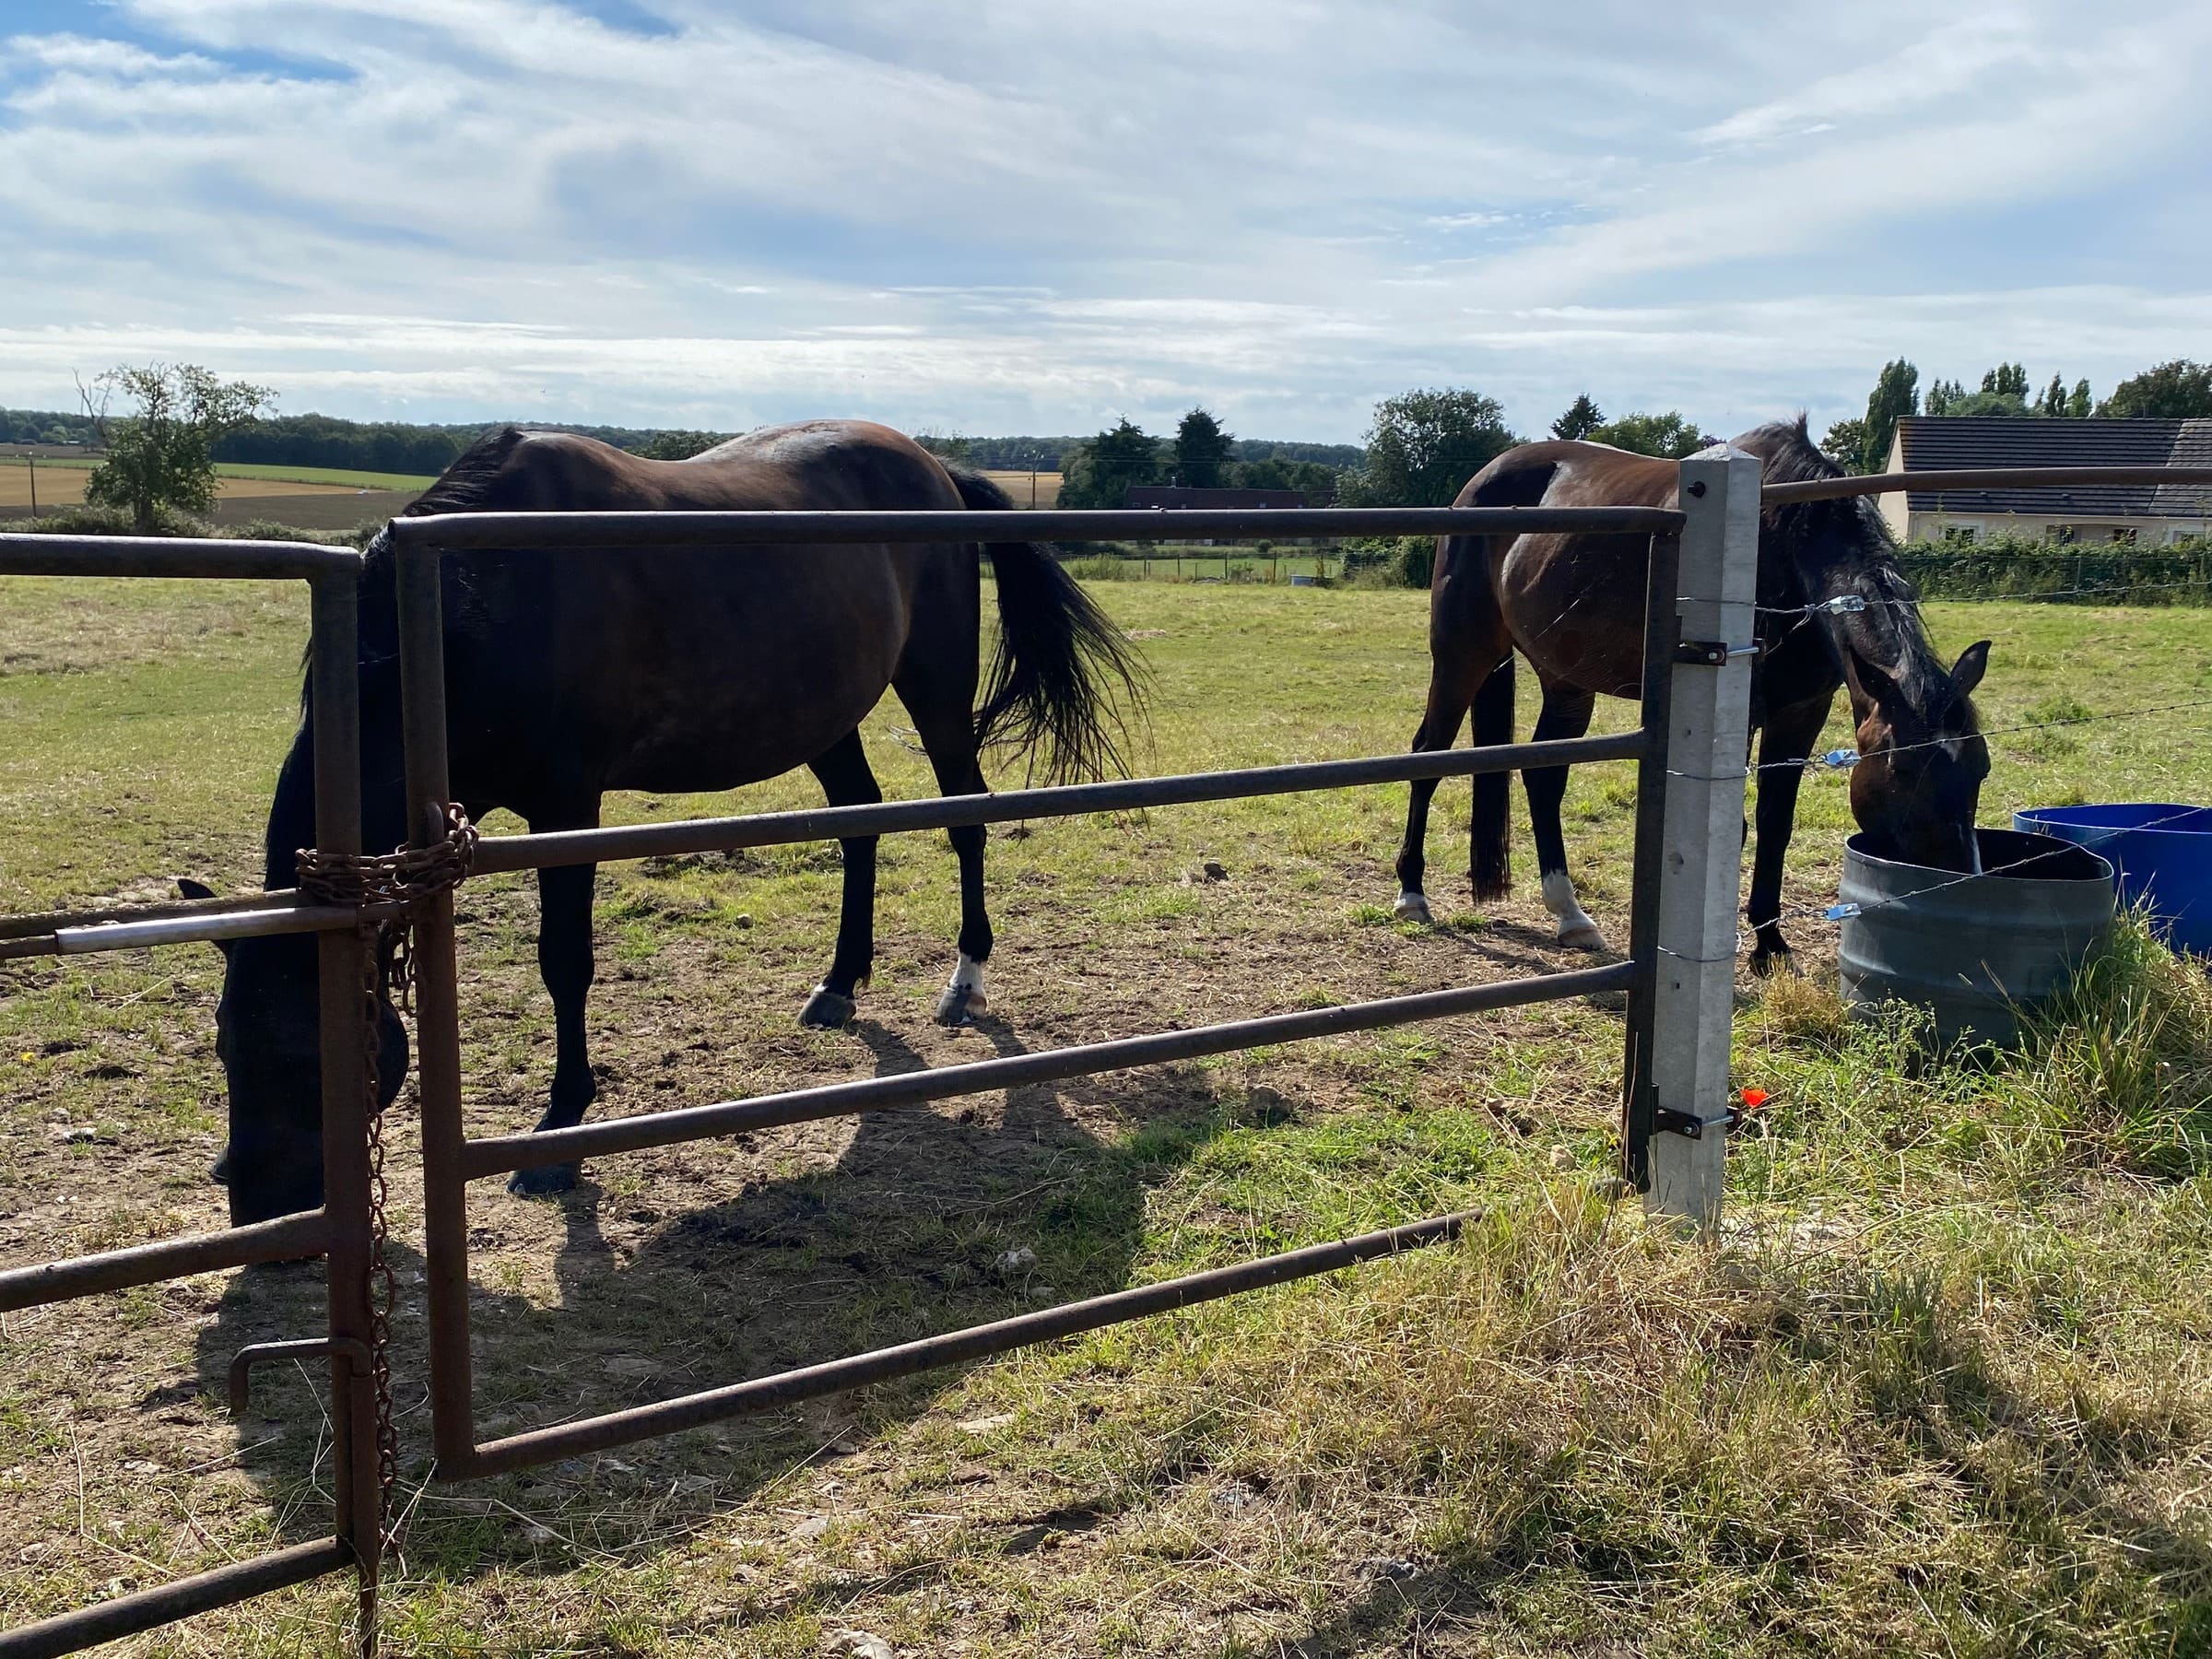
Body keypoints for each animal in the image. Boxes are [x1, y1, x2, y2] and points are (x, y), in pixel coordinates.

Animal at [183, 421, 1145, 1225]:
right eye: (227, 1043)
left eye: (308, 1052)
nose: (257, 1207)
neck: (474, 599)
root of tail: (934, 469)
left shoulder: (568, 807)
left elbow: (564, 961)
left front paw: (559, 1132)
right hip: (824, 715)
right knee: (859, 821)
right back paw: (838, 984)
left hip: (937, 690)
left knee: (966, 820)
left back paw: (965, 980)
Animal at [1390, 417, 1990, 969]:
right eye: (1904, 769)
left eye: (1981, 768)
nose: (1958, 876)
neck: (1786, 545)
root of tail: (1481, 481)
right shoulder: (1741, 710)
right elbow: (1738, 827)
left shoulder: (1801, 711)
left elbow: (1776, 822)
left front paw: (1771, 946)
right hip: (1464, 657)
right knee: (1428, 756)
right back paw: (1412, 894)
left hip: (1567, 682)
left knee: (1544, 776)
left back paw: (1571, 916)